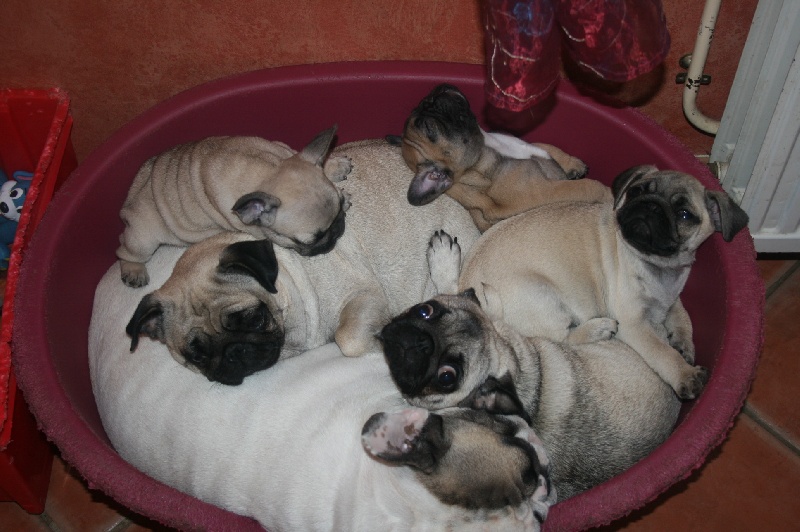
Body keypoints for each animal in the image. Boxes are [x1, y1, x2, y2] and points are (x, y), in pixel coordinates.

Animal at [116, 125, 353, 287]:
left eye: (339, 209)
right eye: (309, 240)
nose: (338, 230)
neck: (268, 170)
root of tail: (136, 189)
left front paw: (335, 169)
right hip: (144, 238)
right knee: (124, 250)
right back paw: (134, 271)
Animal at [395, 84, 610, 231]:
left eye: (420, 104)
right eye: (429, 128)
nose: (432, 96)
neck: (488, 146)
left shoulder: (527, 144)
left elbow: (549, 148)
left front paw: (573, 164)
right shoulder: (547, 191)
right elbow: (589, 187)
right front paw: (610, 194)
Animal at [454, 165, 750, 399]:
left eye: (685, 214)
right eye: (637, 191)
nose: (651, 205)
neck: (657, 267)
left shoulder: (670, 296)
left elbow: (681, 315)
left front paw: (683, 342)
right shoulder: (634, 324)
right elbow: (662, 352)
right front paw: (684, 373)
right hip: (543, 296)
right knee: (560, 339)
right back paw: (597, 330)